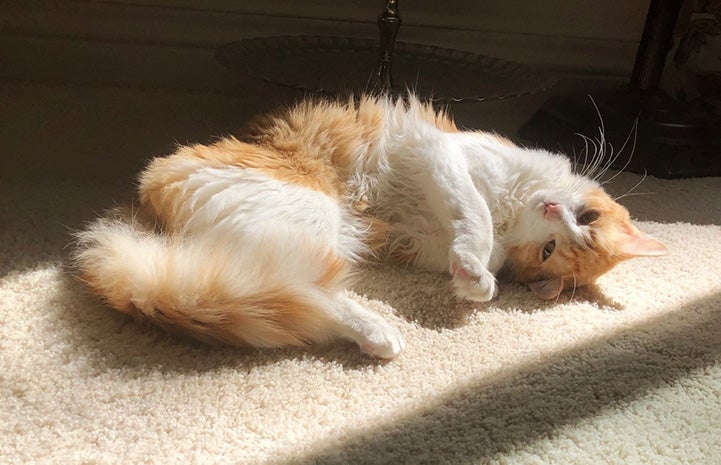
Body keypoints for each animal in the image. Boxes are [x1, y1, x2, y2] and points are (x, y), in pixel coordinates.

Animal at [71, 94, 664, 358]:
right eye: (584, 219)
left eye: (549, 252)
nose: (553, 214)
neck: (512, 210)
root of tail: (140, 210)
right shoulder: (444, 155)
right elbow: (472, 212)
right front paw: (476, 276)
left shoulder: (424, 238)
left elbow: (469, 242)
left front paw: (471, 276)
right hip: (310, 212)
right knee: (301, 291)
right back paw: (380, 331)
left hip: (310, 239)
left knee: (296, 295)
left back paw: (377, 335)